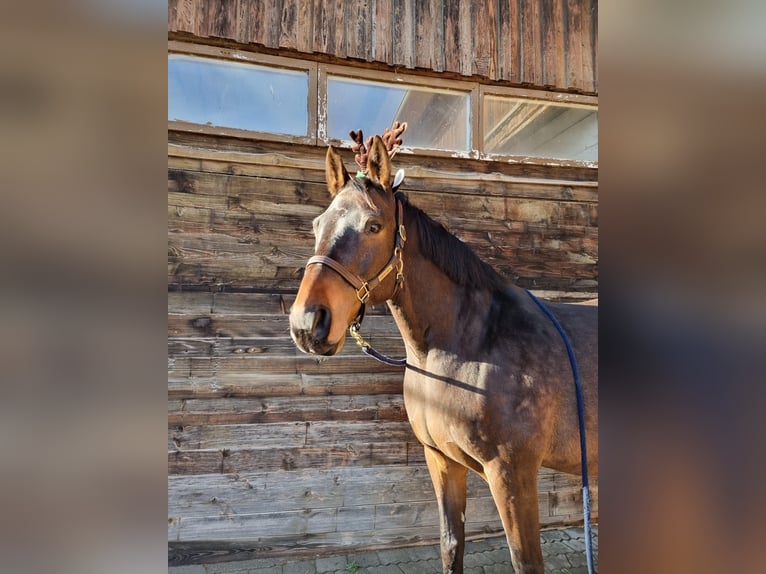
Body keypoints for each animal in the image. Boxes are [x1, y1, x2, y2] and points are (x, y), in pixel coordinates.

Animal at [292, 137, 596, 572]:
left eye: (373, 226)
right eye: (317, 225)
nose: (307, 322)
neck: (467, 348)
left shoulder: (512, 474)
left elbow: (525, 561)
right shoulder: (441, 460)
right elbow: (451, 545)